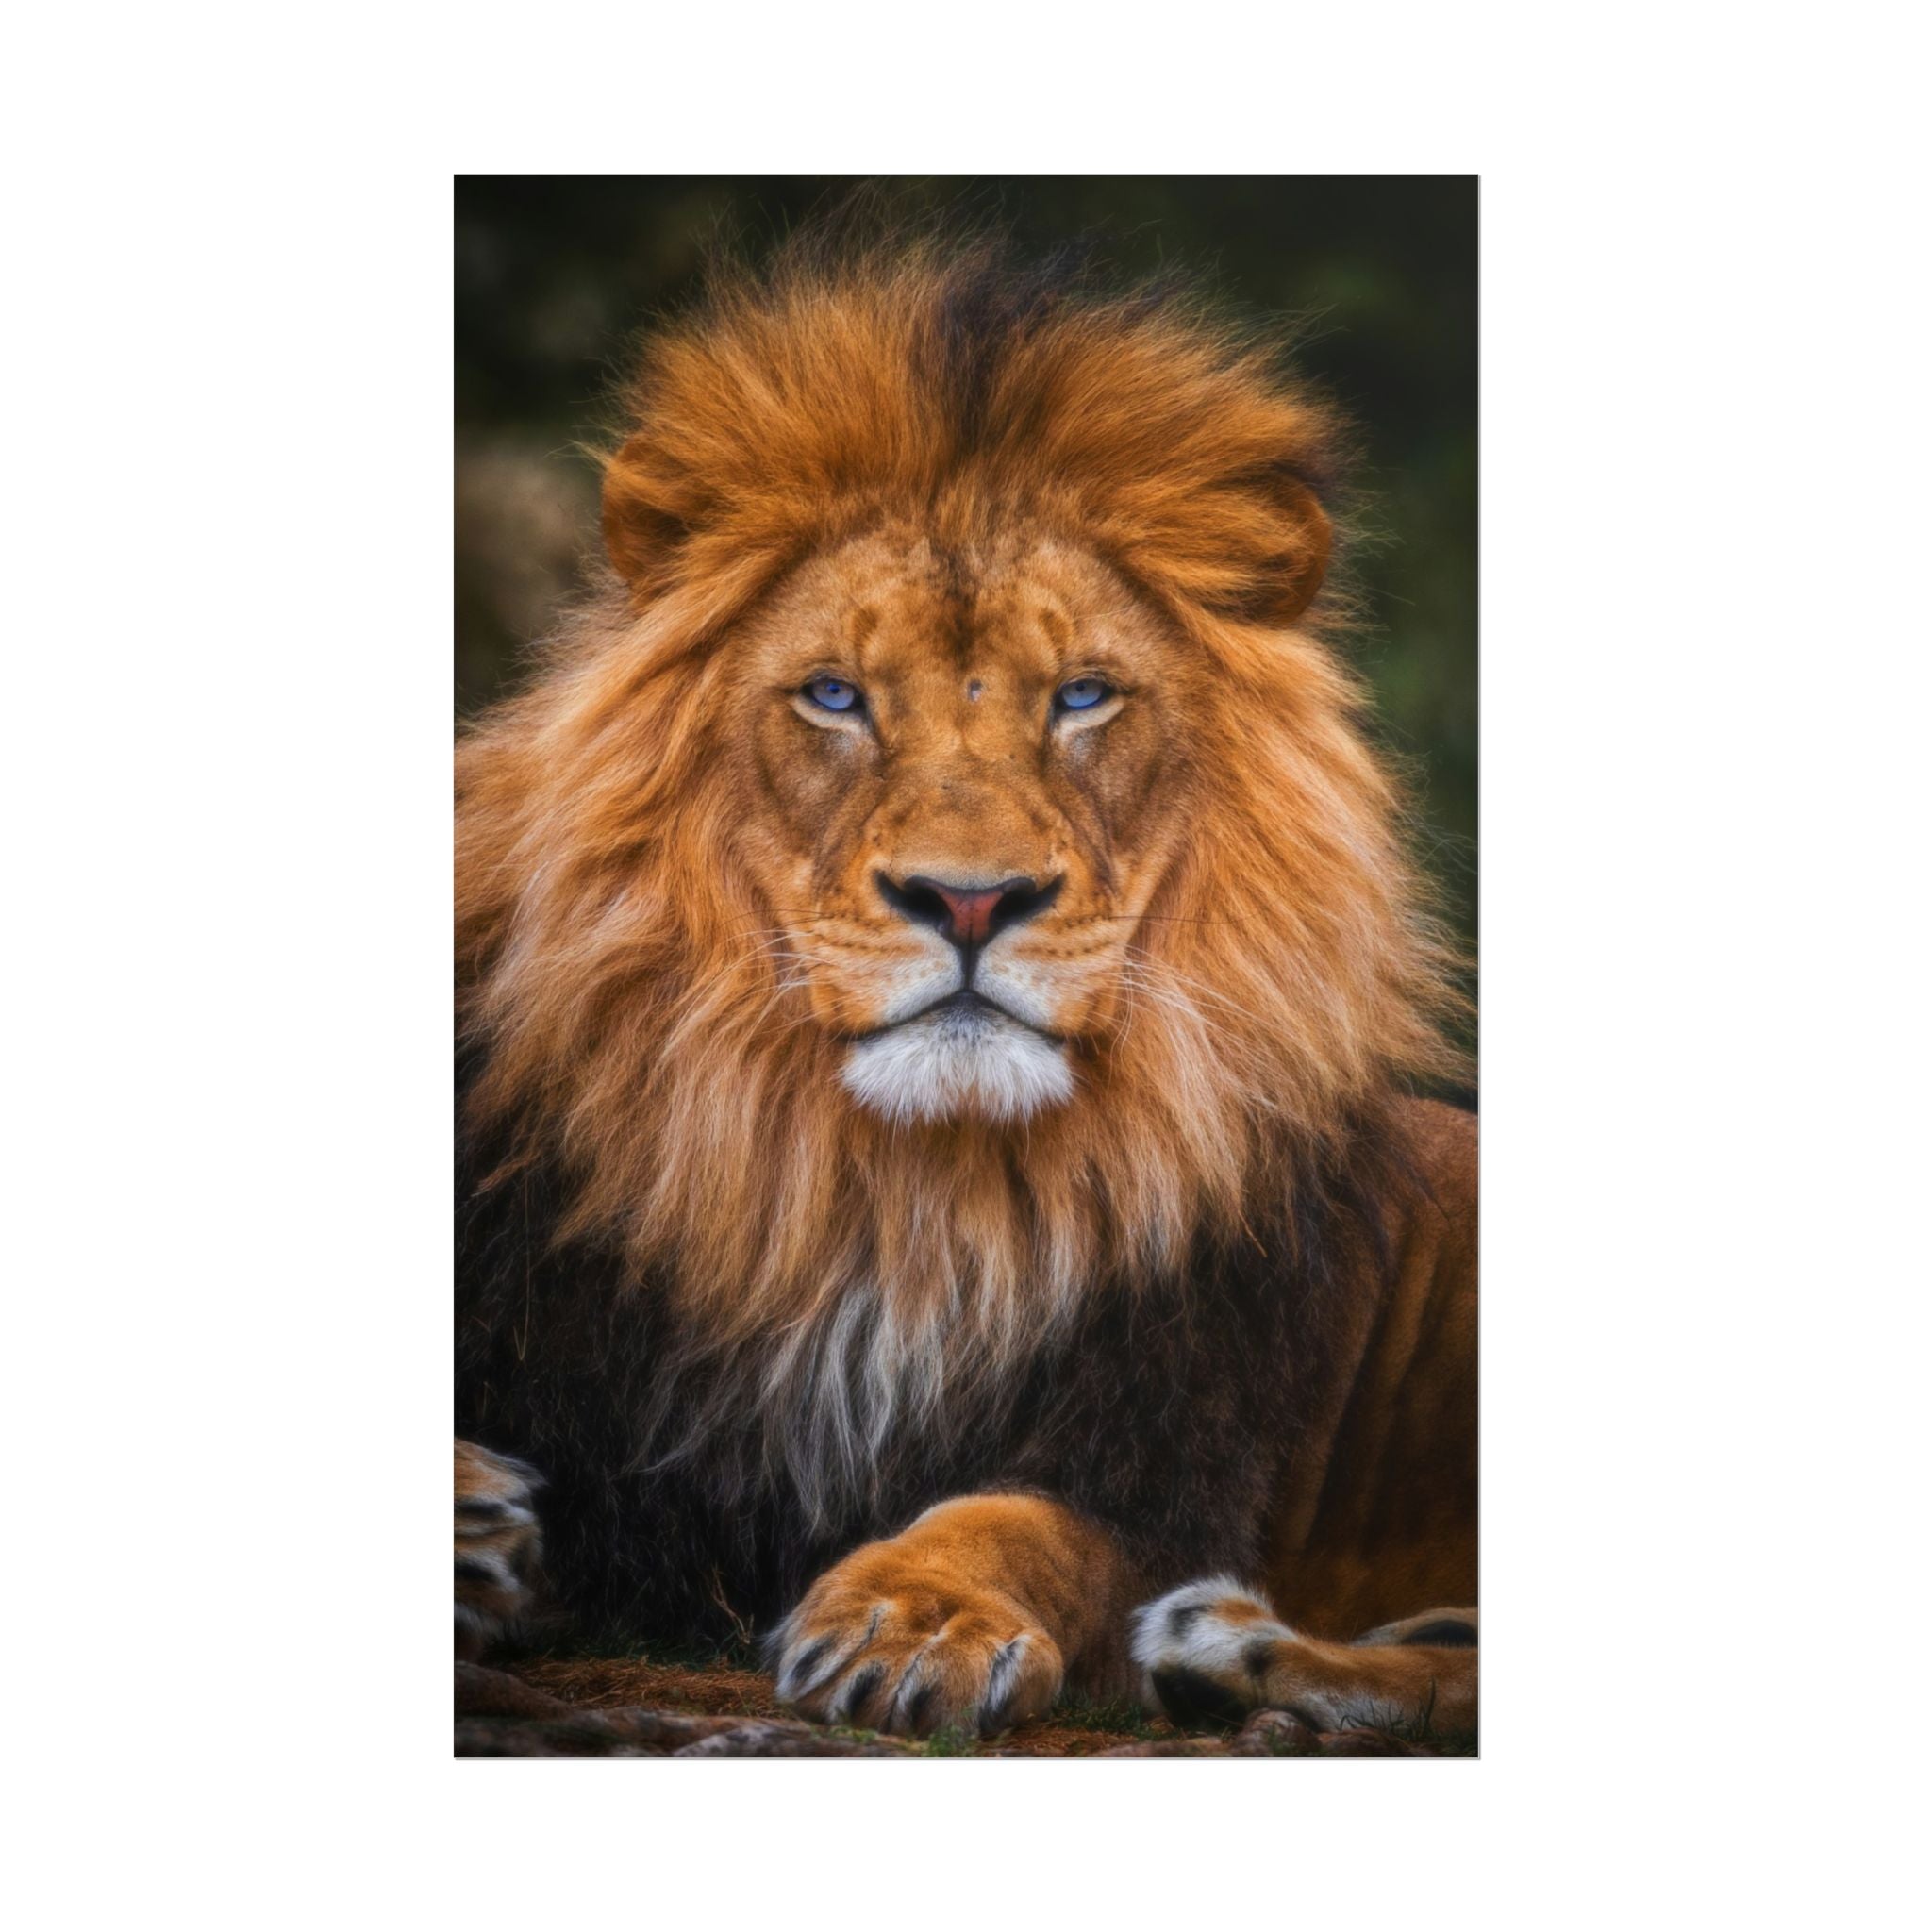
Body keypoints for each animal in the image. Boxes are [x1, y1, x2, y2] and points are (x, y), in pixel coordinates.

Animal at [454, 230, 1477, 1745]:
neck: (895, 1197)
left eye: (1083, 696)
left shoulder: (1165, 1459)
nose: (972, 900)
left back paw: (1233, 1646)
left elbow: (1019, 1522)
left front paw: (912, 1615)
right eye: (833, 695)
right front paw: (474, 1520)